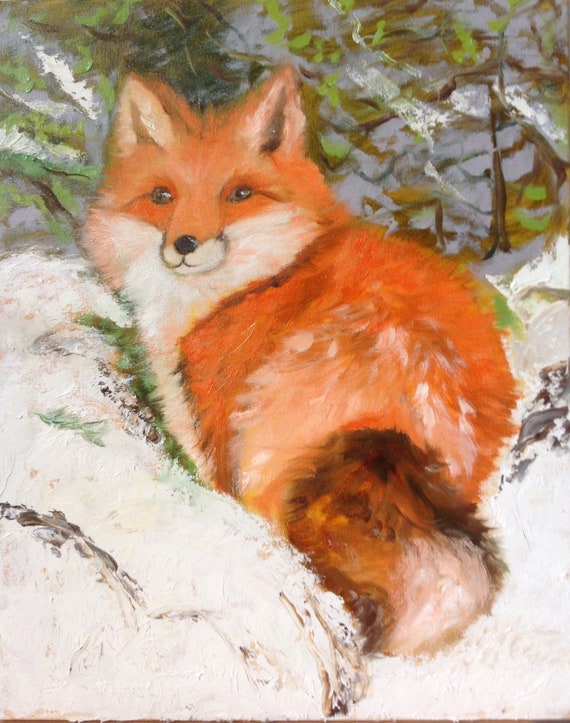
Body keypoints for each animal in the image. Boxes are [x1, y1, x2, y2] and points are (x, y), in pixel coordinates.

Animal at [82, 65, 518, 656]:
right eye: (162, 196)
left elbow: (218, 486)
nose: (186, 244)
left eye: (239, 194)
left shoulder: (214, 421)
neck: (263, 280)